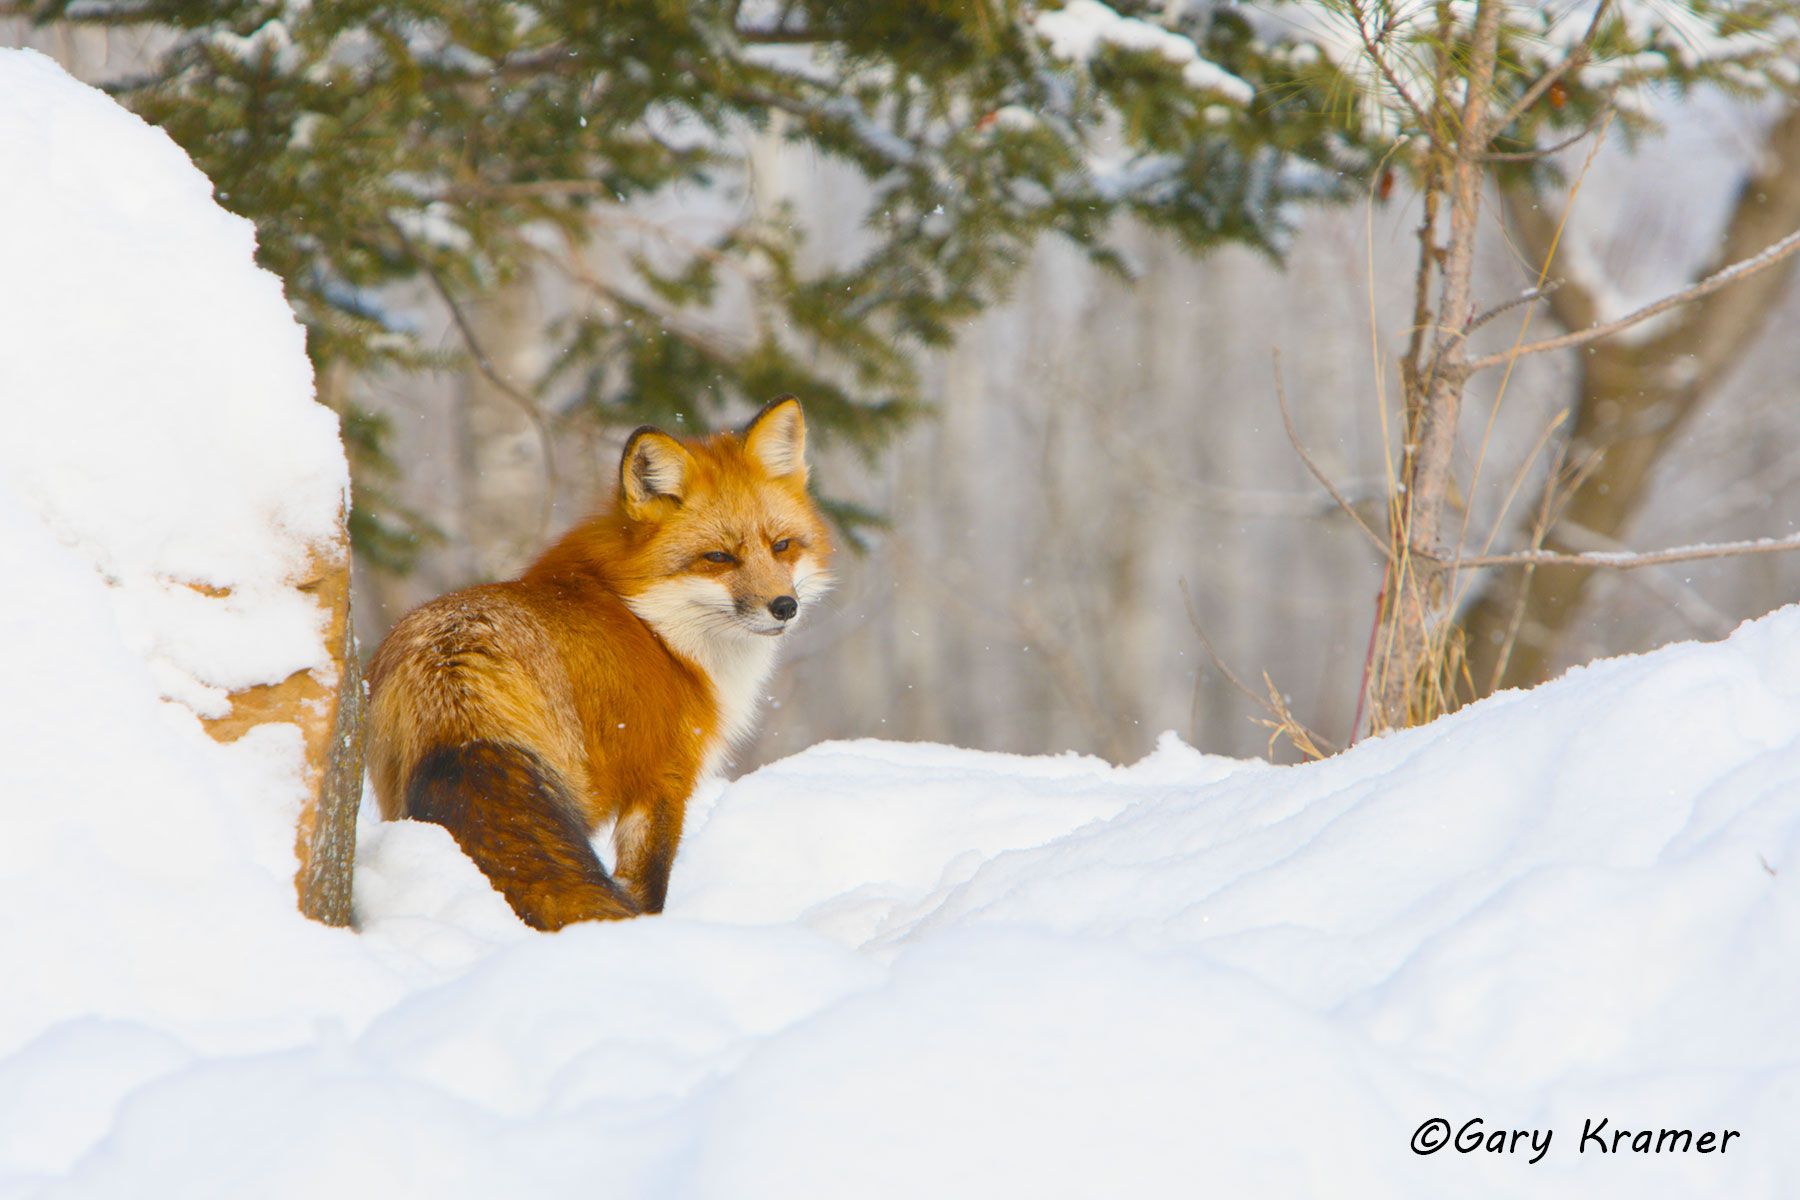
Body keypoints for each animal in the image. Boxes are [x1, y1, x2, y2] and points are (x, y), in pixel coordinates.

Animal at [366, 396, 832, 929]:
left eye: (782, 546)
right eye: (718, 557)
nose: (784, 607)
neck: (651, 624)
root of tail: (452, 665)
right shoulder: (663, 779)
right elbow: (647, 886)